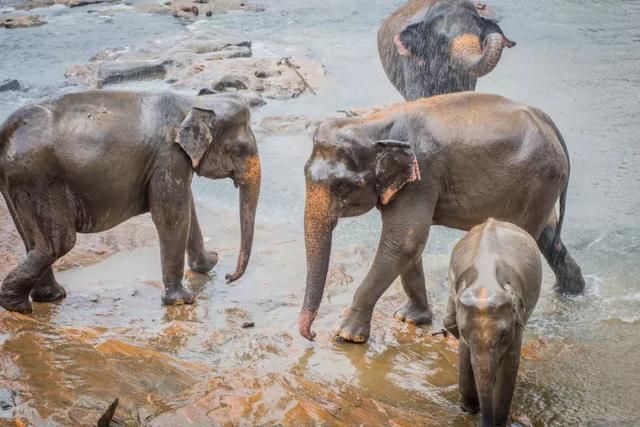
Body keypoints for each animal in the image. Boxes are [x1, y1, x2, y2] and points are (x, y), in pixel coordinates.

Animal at [0, 90, 260, 314]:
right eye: (238, 149)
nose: (228, 278)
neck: (193, 102)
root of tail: (4, 137)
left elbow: (187, 206)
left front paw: (209, 263)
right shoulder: (168, 155)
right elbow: (172, 216)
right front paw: (183, 300)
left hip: (18, 185)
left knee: (33, 241)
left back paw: (47, 298)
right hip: (38, 180)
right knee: (58, 244)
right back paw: (18, 306)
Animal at [298, 92, 584, 342]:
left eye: (341, 187)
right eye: (305, 175)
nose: (311, 335)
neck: (372, 123)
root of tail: (549, 124)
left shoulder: (422, 176)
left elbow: (404, 241)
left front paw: (347, 335)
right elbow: (409, 245)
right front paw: (409, 318)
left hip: (538, 181)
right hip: (540, 188)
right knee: (547, 235)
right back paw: (572, 292)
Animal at [442, 219, 544, 426]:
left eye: (503, 334)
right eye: (464, 331)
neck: (486, 281)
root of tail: (492, 220)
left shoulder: (516, 322)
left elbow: (510, 365)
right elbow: (465, 356)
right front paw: (469, 408)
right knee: (448, 321)